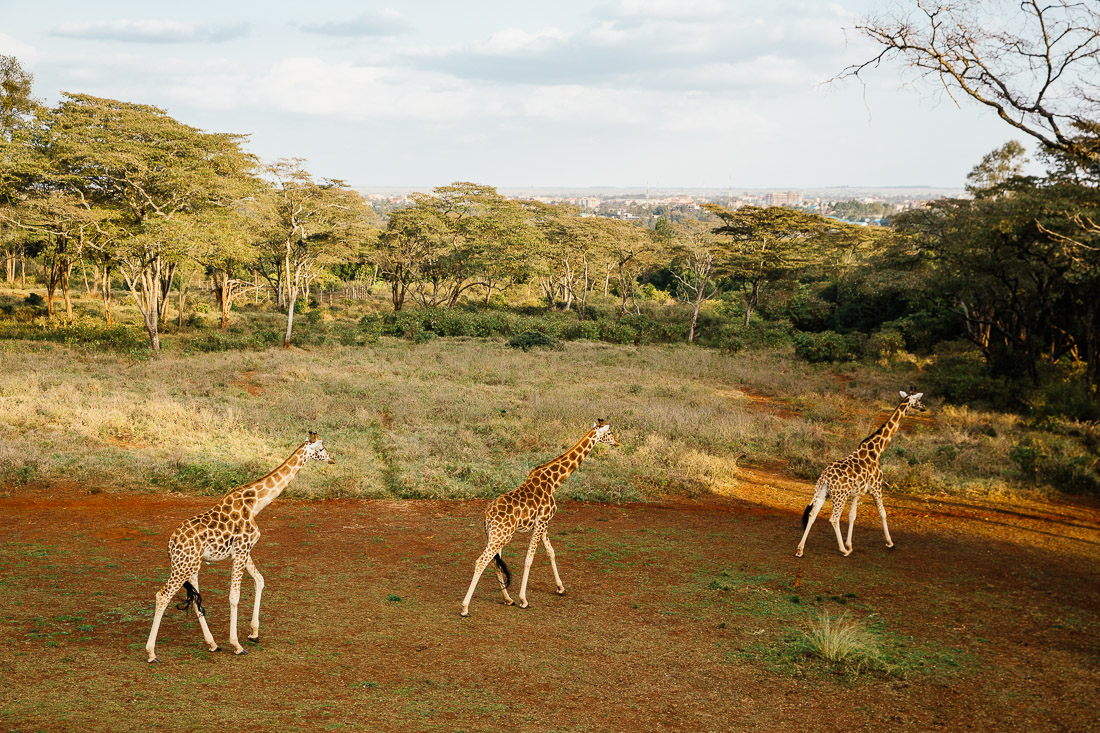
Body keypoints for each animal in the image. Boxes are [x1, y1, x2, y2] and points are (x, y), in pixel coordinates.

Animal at [146, 431, 334, 660]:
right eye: (322, 448)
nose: (333, 459)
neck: (256, 503)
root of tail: (170, 543)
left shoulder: (244, 551)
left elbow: (260, 580)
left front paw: (254, 633)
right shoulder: (241, 551)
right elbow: (234, 596)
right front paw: (236, 644)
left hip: (192, 566)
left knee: (196, 599)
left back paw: (212, 644)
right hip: (183, 566)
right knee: (162, 596)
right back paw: (151, 653)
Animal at [459, 420, 624, 611]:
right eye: (610, 433)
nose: (618, 442)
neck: (554, 481)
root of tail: (487, 515)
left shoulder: (543, 523)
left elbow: (551, 552)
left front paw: (560, 588)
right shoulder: (542, 521)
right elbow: (529, 559)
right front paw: (524, 599)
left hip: (497, 535)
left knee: (494, 562)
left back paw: (508, 599)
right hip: (502, 535)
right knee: (481, 561)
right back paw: (465, 608)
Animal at [796, 391, 924, 556]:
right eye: (919, 400)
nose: (924, 408)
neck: (877, 450)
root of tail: (824, 477)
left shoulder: (857, 493)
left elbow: (852, 516)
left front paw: (850, 544)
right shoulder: (877, 487)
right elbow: (883, 513)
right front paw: (890, 543)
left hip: (823, 493)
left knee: (812, 515)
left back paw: (800, 550)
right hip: (839, 496)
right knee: (834, 518)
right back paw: (843, 550)